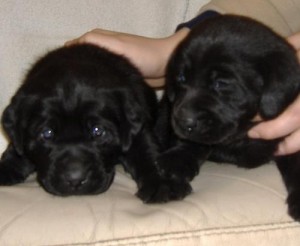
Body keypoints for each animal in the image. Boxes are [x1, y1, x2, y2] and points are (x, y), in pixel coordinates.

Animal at [0, 43, 190, 202]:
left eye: (98, 131)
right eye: (47, 133)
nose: (75, 179)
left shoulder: (138, 130)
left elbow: (147, 152)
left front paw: (163, 184)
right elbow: (16, 149)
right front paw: (7, 166)